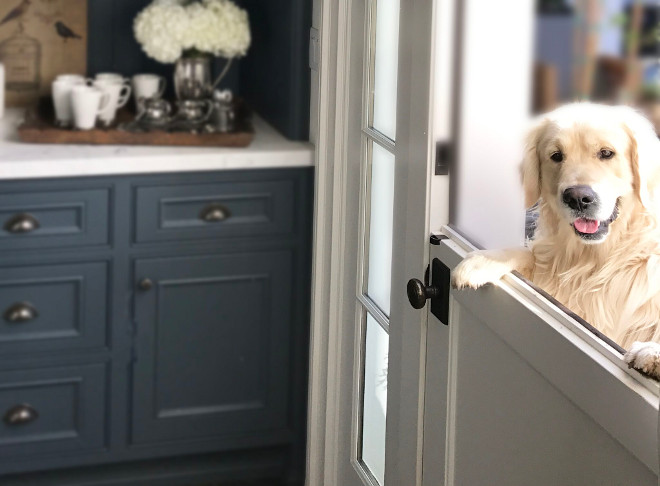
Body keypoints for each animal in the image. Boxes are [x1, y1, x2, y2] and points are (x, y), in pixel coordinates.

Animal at [452, 101, 660, 376]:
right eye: (556, 156)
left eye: (606, 153)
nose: (578, 198)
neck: (596, 258)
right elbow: (526, 253)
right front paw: (481, 262)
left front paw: (652, 352)